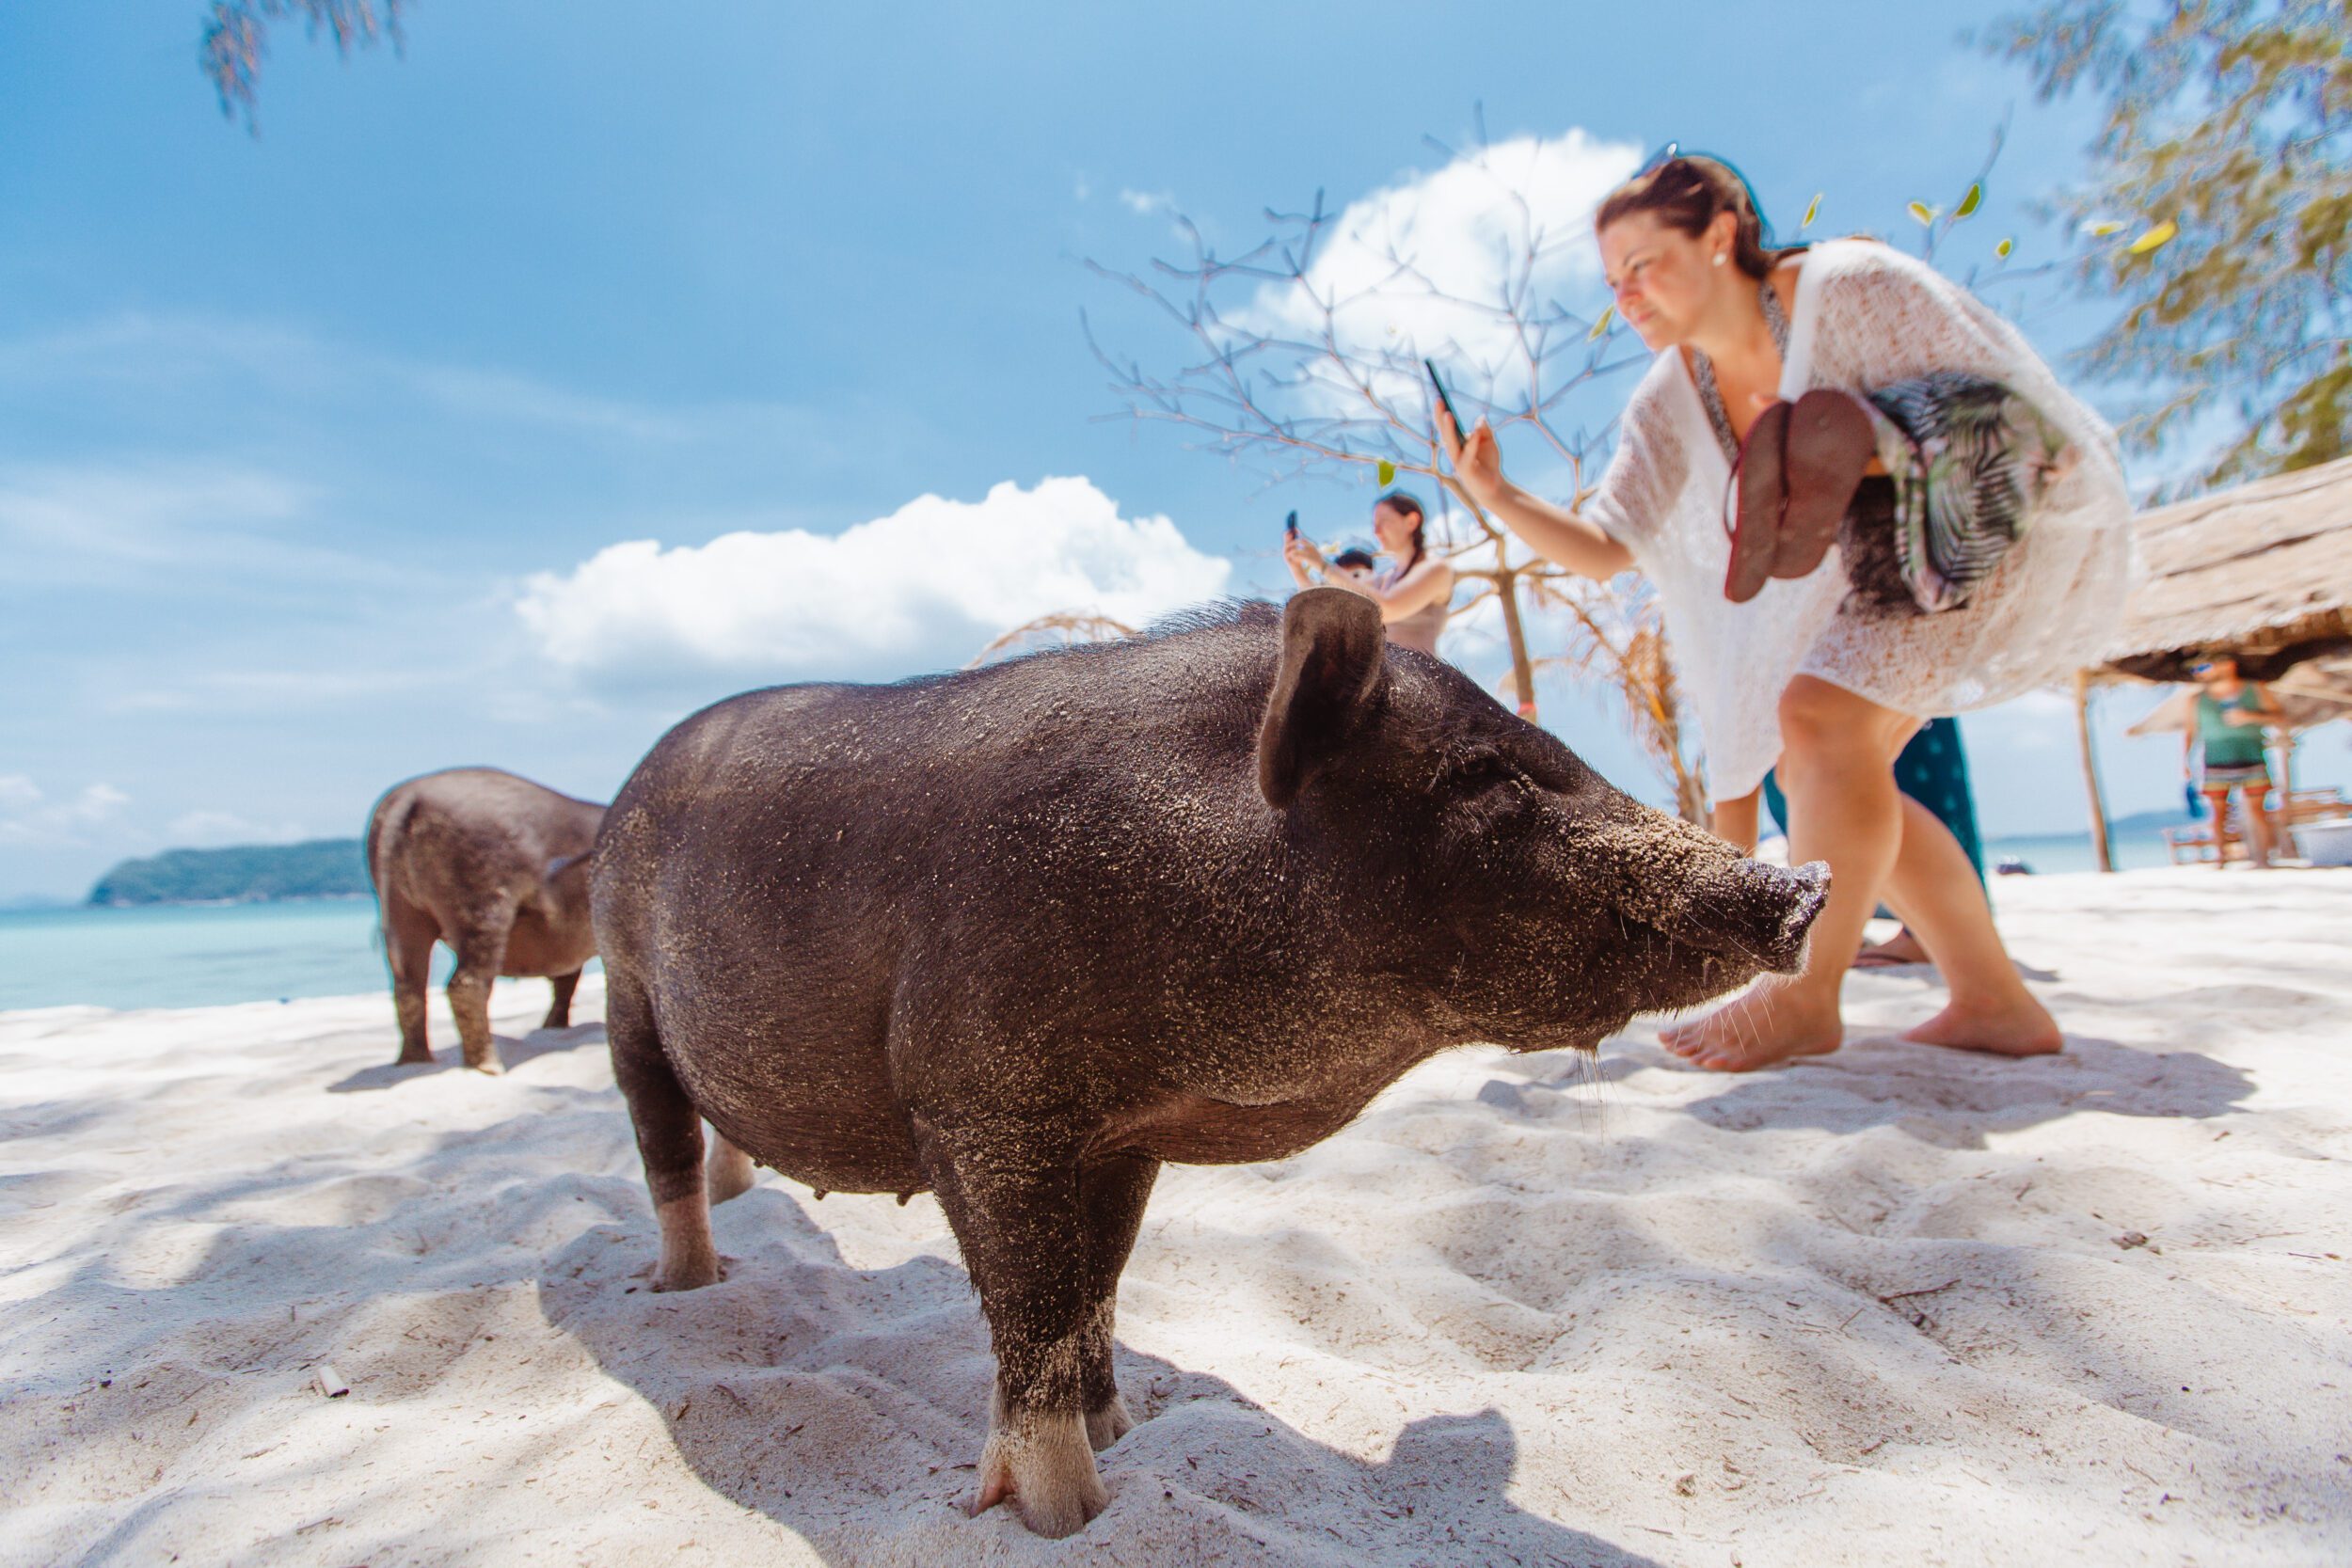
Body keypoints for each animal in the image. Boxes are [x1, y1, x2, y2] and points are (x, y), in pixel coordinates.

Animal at [365, 767, 605, 1073]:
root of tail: (408, 798)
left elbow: (567, 979)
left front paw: (553, 1027)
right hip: (482, 897)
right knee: (465, 984)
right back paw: (490, 1067)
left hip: (398, 908)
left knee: (408, 985)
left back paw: (414, 1062)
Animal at [591, 589, 1827, 1537]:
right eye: (1482, 776)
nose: (1804, 886)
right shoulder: (978, 1102)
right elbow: (1032, 1305)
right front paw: (1063, 1518)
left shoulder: (1121, 1136)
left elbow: (1095, 1288)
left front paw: (1123, 1429)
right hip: (624, 987)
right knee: (660, 1144)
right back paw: (683, 1287)